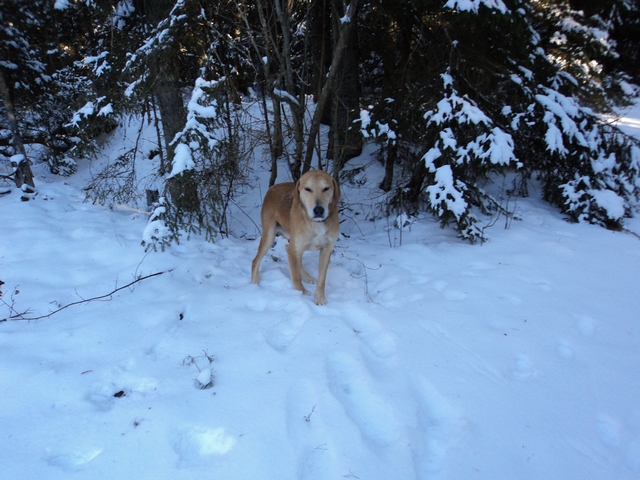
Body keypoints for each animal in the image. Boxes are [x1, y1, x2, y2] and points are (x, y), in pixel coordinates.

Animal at [251, 170, 340, 305]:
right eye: (307, 189)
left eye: (326, 188)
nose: (318, 210)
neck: (316, 223)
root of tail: (273, 187)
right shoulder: (294, 249)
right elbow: (296, 277)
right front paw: (301, 294)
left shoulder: (326, 250)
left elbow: (322, 279)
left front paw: (319, 298)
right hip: (270, 236)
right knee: (256, 260)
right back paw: (254, 283)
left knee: (296, 260)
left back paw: (307, 277)